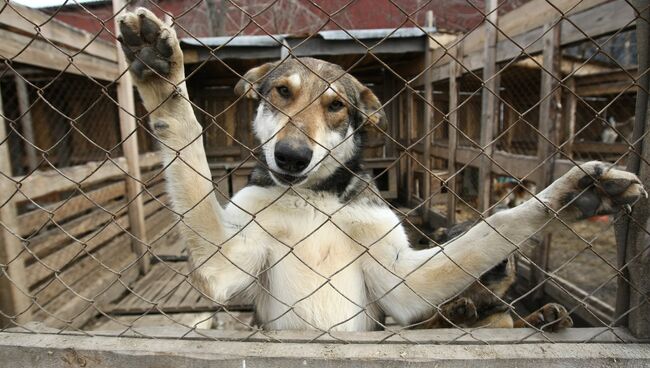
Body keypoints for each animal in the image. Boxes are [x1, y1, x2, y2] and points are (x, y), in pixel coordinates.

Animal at [115, 7, 644, 330]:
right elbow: (188, 141)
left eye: (335, 106)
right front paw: (162, 76)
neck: (314, 200)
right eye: (281, 92)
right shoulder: (221, 263)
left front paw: (577, 194)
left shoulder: (406, 281)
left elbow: (501, 224)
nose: (291, 157)